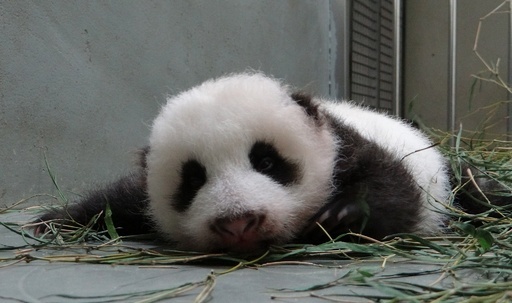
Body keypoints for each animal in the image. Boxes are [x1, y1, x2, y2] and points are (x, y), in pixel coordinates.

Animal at [36, 73, 450, 254]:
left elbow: (396, 190)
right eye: (193, 179)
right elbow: (116, 200)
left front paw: (341, 215)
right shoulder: (141, 195)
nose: (238, 223)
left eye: (266, 161)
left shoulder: (345, 147)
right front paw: (54, 221)